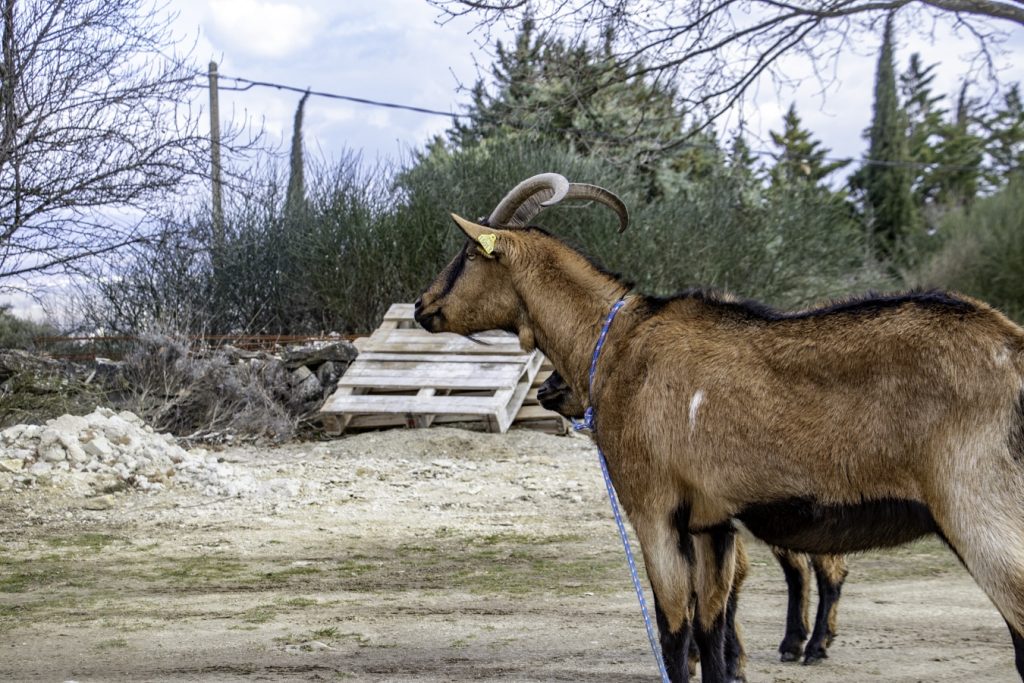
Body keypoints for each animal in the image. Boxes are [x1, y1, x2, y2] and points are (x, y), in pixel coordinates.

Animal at [537, 369, 848, 666]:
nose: (543, 390)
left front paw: (729, 659)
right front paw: (702, 653)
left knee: (829, 569)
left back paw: (817, 645)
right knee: (798, 569)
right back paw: (793, 643)